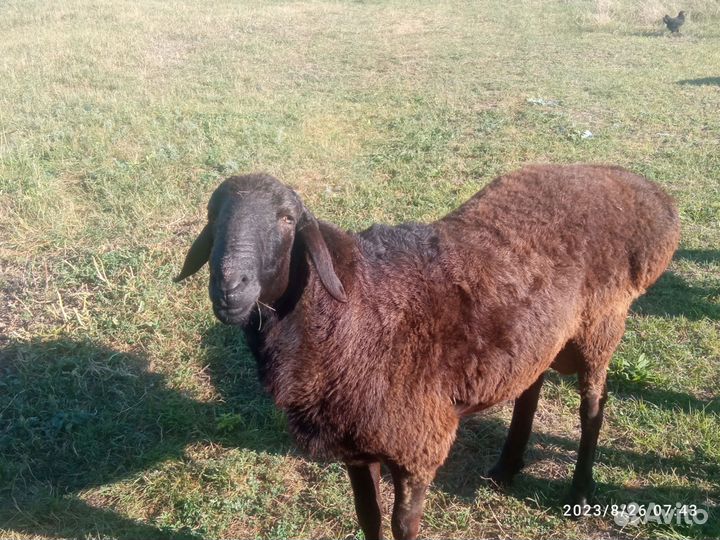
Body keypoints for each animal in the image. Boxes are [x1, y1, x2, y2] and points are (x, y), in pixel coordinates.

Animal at [174, 164, 680, 540]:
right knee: (530, 387)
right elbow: (369, 518)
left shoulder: (417, 442)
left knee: (593, 404)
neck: (350, 309)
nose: (230, 286)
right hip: (539, 335)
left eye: (286, 219)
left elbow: (403, 525)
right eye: (213, 215)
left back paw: (580, 491)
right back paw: (506, 466)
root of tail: (644, 190)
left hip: (600, 325)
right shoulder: (357, 446)